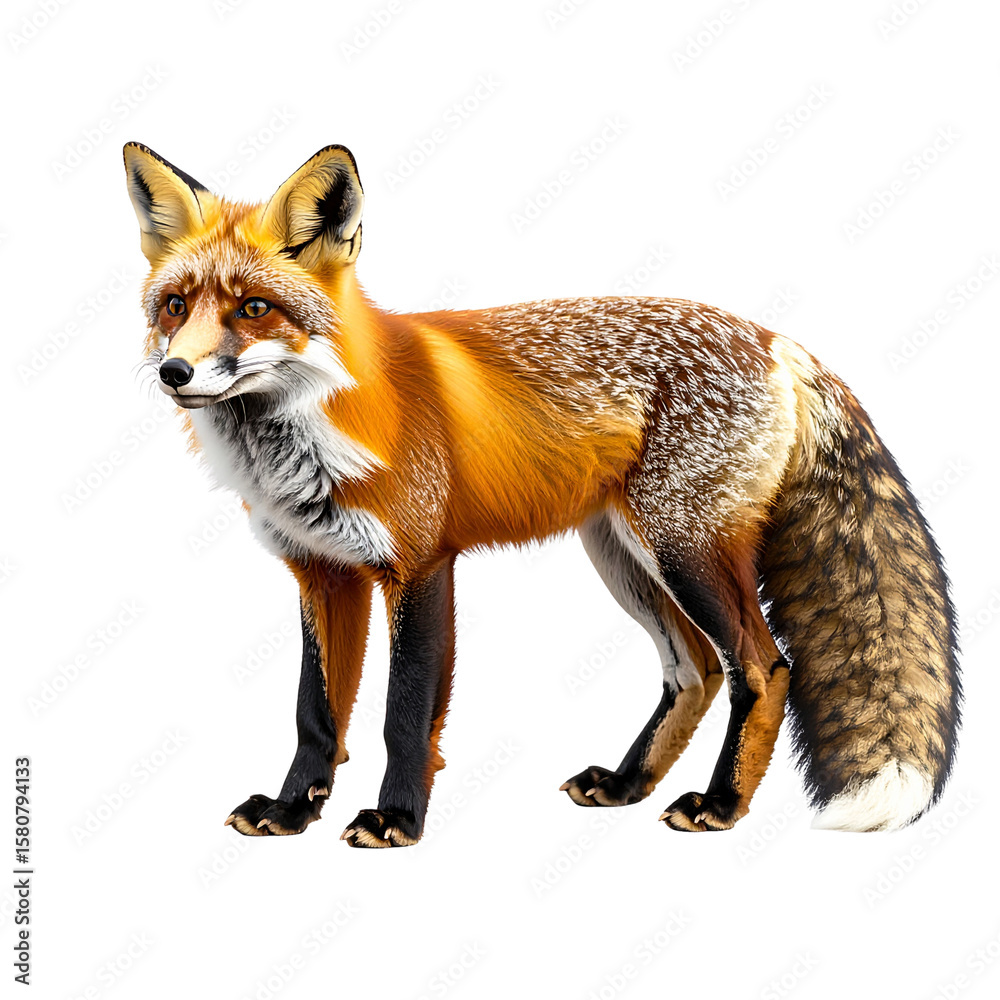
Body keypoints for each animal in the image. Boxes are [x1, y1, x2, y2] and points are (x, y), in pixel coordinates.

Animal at [122, 141, 960, 846]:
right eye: (175, 306)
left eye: (252, 308)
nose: (174, 372)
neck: (318, 429)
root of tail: (776, 339)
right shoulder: (322, 571)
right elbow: (315, 714)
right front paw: (292, 809)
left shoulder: (421, 566)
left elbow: (403, 714)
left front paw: (398, 819)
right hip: (625, 558)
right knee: (695, 670)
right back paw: (626, 784)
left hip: (683, 551)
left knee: (762, 667)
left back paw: (719, 804)